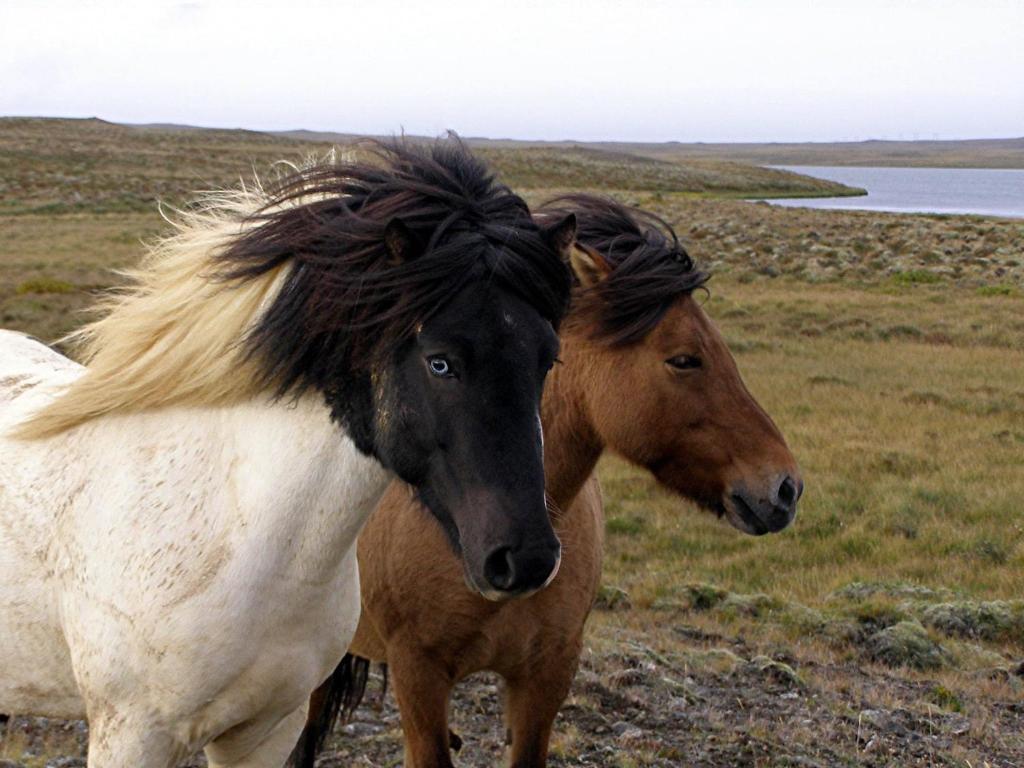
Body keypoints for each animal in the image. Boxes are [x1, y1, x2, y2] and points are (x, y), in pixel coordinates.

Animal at [0, 141, 577, 765]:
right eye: (440, 362)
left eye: (547, 359)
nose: (526, 559)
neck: (243, 539)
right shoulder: (132, 736)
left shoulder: (269, 728)